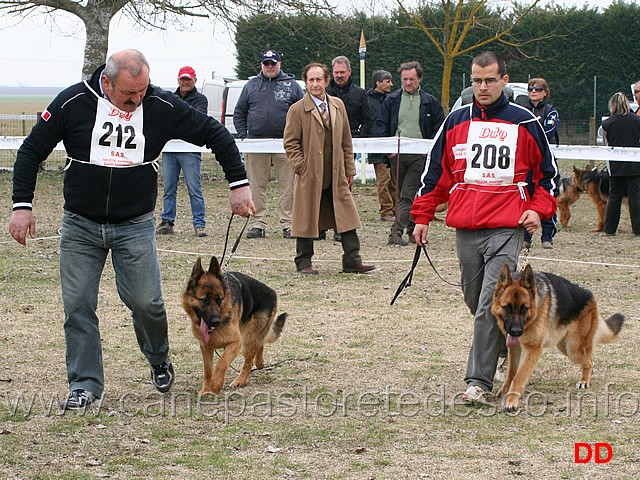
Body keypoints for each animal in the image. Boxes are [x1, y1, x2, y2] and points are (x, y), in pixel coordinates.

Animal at [182, 256, 288, 396]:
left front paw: (215, 384)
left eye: (219, 299)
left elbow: (221, 363)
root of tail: (272, 292)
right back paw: (260, 362)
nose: (216, 322)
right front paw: (206, 389)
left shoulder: (235, 343)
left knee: (249, 363)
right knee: (260, 344)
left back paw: (240, 380)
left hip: (248, 339)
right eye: (205, 300)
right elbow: (208, 370)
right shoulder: (206, 346)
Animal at [492, 264, 624, 410]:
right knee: (589, 358)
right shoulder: (515, 347)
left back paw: (584, 380)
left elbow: (519, 376)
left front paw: (511, 399)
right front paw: (504, 391)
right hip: (564, 346)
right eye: (507, 307)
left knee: (589, 361)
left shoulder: (533, 349)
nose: (516, 331)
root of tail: (591, 295)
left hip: (574, 349)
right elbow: (511, 372)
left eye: (524, 308)